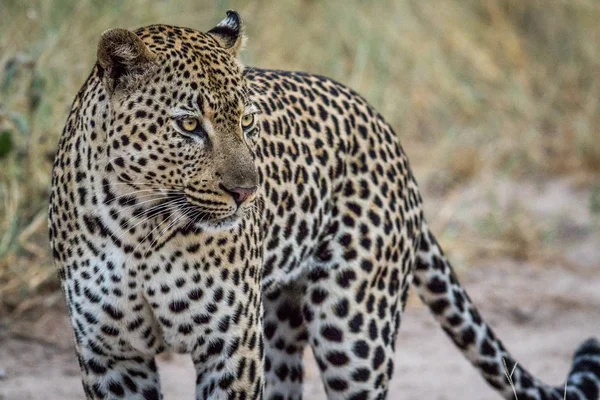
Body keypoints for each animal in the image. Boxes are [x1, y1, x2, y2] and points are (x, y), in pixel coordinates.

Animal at [50, 9, 600, 400]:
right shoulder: (109, 353)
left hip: (351, 329)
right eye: (189, 125)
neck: (139, 224)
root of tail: (384, 127)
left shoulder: (230, 347)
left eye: (247, 121)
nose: (247, 192)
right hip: (279, 321)